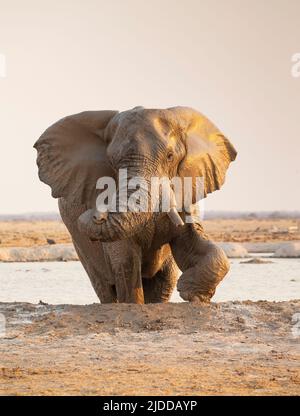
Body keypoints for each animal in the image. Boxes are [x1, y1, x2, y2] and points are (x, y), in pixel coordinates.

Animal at [34, 105, 237, 304]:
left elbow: (194, 240)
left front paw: (192, 294)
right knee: (104, 286)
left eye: (170, 156)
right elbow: (126, 260)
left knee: (164, 281)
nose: (95, 214)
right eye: (112, 161)